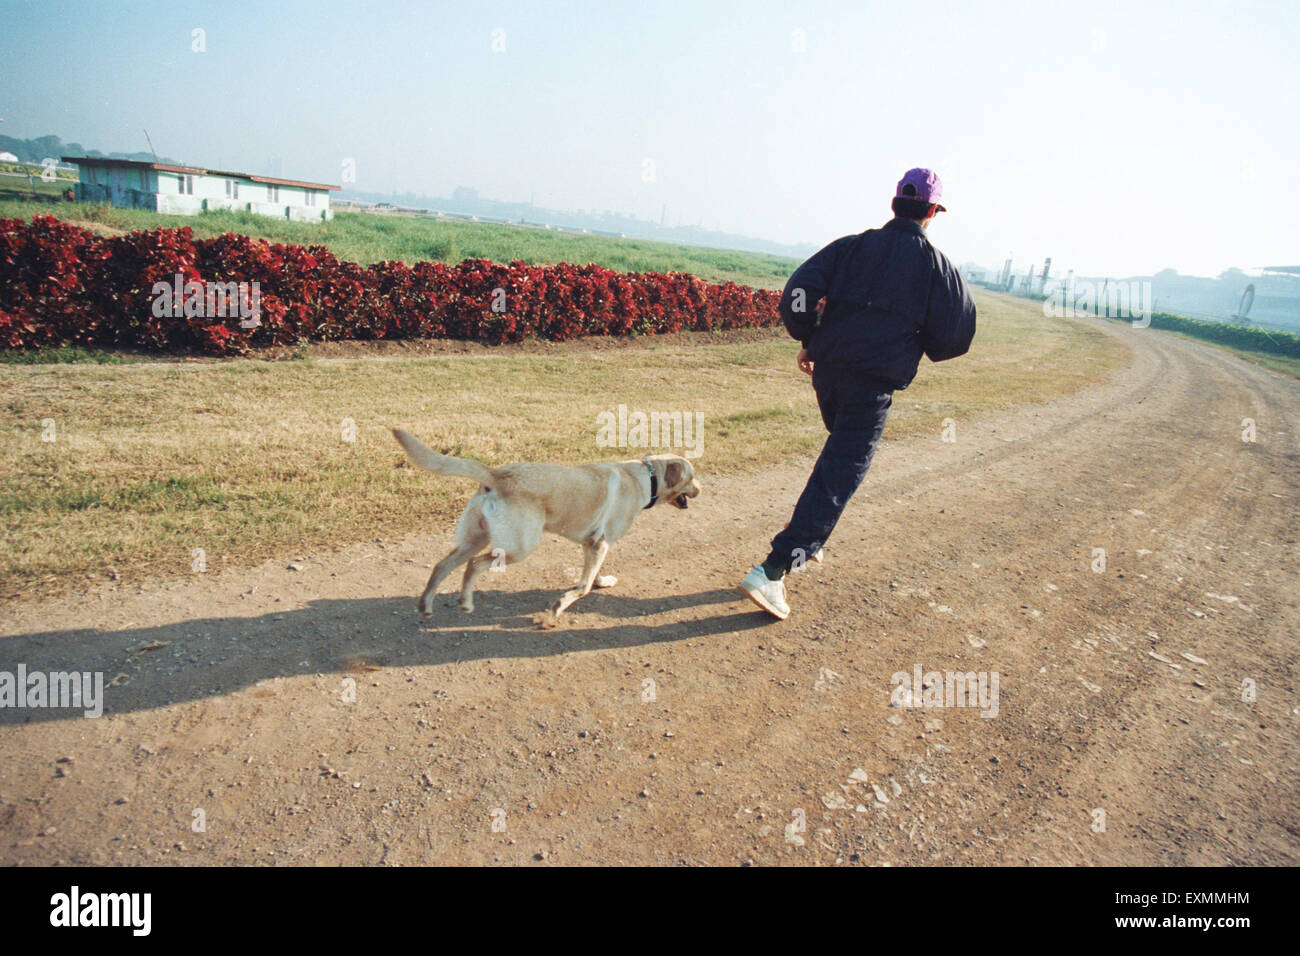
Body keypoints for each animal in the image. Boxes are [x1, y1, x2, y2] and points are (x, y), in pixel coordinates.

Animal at [392, 429, 702, 624]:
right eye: (692, 476)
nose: (702, 489)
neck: (646, 476)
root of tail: (497, 473)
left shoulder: (592, 544)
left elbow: (591, 575)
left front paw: (601, 581)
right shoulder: (601, 542)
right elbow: (582, 587)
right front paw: (557, 608)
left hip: (474, 539)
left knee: (442, 566)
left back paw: (425, 606)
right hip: (519, 547)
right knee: (474, 565)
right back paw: (465, 602)